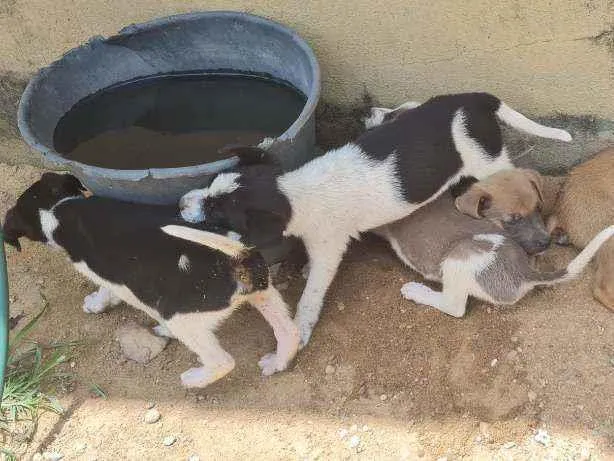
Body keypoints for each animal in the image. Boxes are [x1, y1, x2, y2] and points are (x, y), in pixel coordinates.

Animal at [2, 172, 300, 388]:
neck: (56, 208)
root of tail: (239, 258)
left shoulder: (106, 274)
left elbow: (106, 291)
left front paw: (95, 304)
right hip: (265, 294)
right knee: (289, 332)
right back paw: (276, 362)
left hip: (179, 317)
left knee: (221, 361)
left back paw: (193, 379)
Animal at [180, 92, 576, 344]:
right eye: (209, 186)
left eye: (217, 214)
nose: (181, 204)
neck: (294, 191)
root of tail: (476, 99)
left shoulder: (328, 247)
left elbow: (311, 295)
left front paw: (301, 328)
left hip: (490, 164)